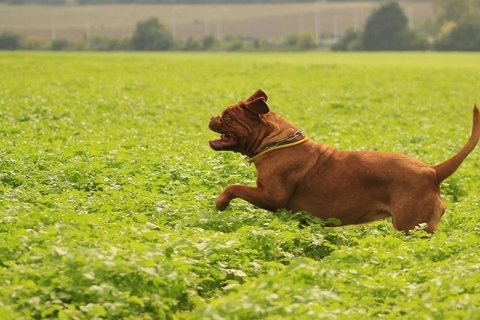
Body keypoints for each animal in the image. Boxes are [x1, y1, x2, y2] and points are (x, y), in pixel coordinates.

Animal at [208, 90, 478, 232]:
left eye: (227, 116)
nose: (211, 117)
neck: (273, 141)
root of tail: (432, 172)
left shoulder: (270, 196)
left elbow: (234, 187)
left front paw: (221, 202)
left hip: (410, 226)